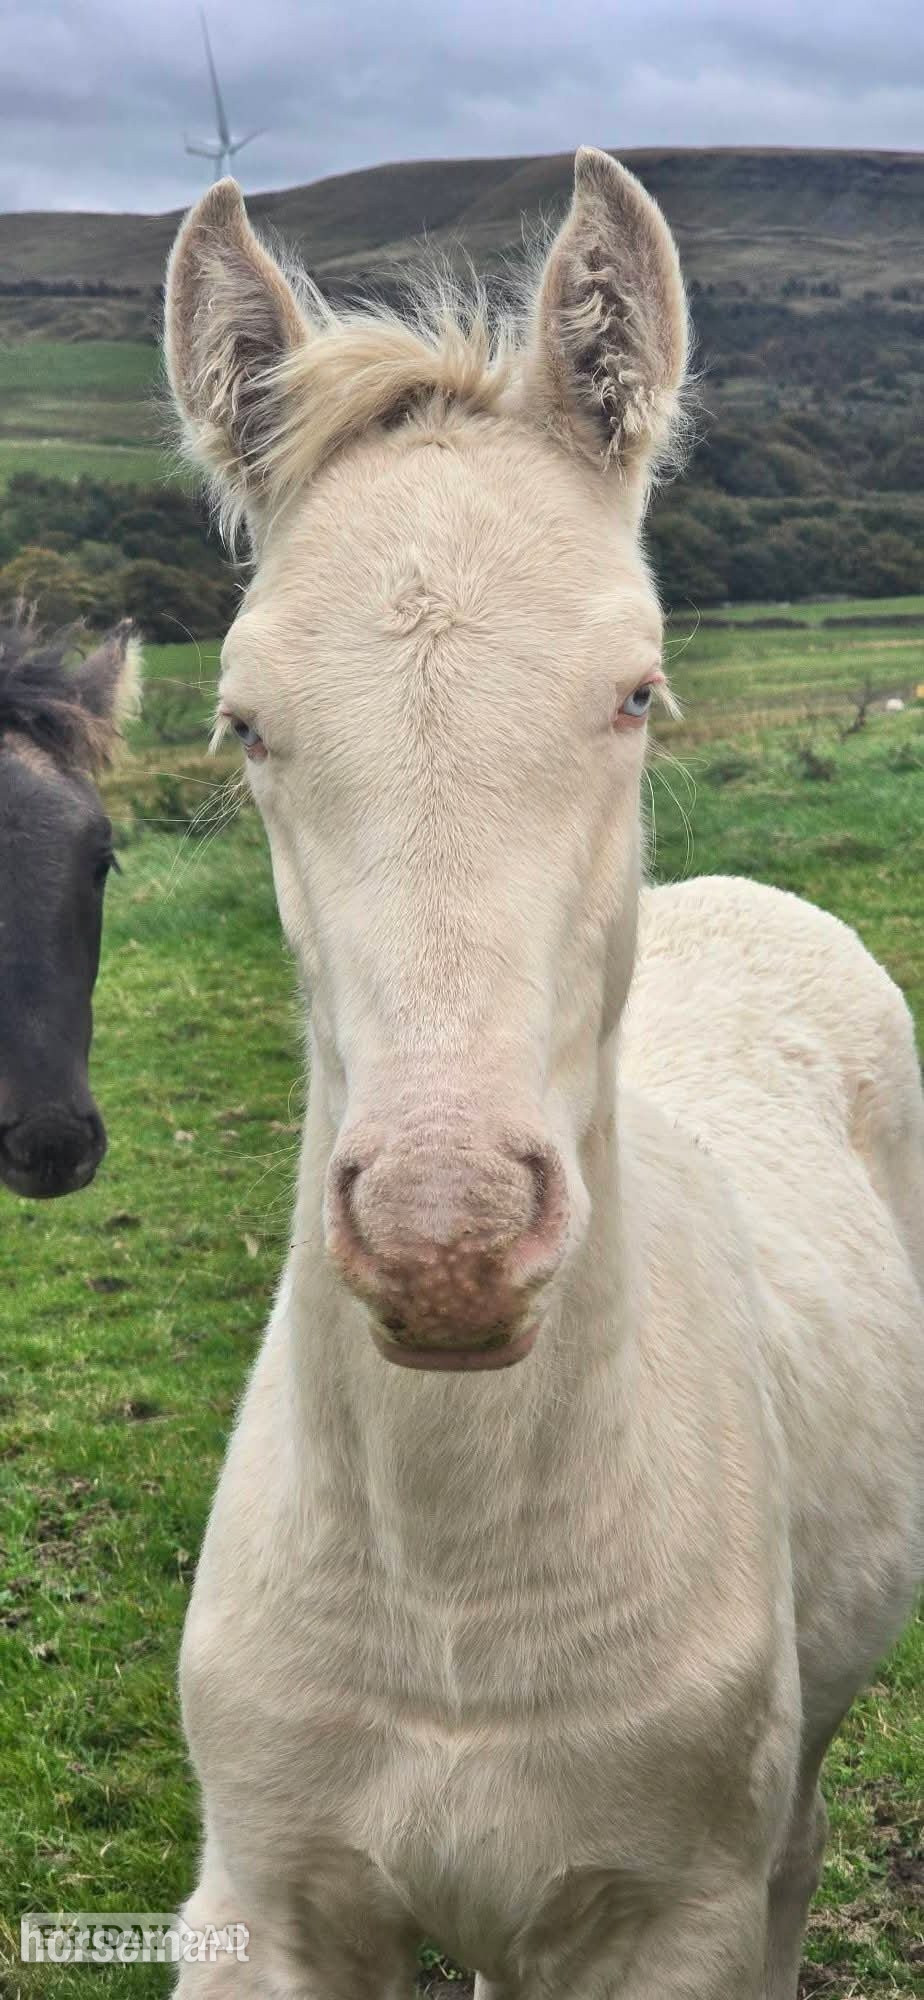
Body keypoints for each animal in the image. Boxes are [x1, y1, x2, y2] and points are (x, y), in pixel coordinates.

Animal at [164, 149, 924, 1998]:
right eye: (242, 722)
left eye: (635, 691)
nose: (443, 1242)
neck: (455, 1595)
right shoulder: (260, 1905)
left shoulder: (669, 1919)